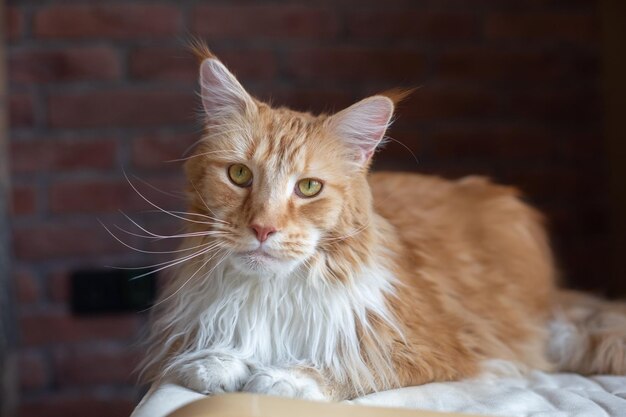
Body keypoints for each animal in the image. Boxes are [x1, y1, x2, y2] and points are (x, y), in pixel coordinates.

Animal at [138, 43, 624, 400]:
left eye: (308, 188)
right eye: (239, 175)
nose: (262, 229)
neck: (272, 293)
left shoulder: (433, 347)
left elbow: (358, 365)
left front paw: (286, 377)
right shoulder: (186, 328)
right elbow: (199, 355)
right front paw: (216, 362)